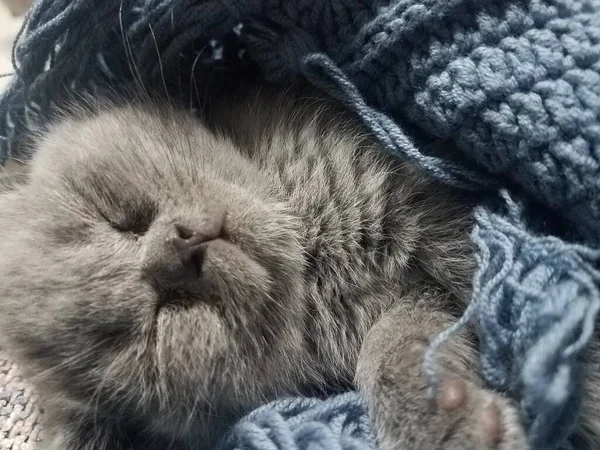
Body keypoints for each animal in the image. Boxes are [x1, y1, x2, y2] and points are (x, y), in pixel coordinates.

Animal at [0, 81, 596, 450]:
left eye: (118, 221)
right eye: (159, 320)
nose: (180, 248)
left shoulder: (435, 212)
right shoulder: (411, 301)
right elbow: (396, 344)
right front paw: (449, 419)